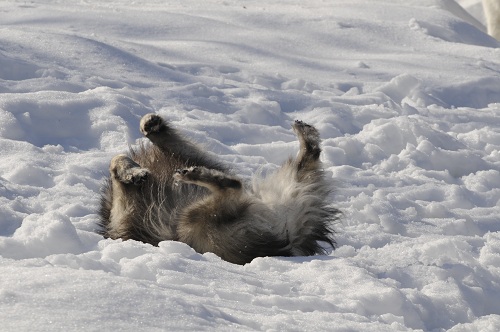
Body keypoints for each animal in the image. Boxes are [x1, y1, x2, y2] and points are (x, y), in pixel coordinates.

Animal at [97, 114, 340, 264]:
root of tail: (290, 232)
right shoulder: (123, 219)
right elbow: (115, 161)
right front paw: (133, 171)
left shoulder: (191, 155)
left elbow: (120, 158)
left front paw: (151, 127)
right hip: (193, 223)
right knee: (233, 187)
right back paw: (198, 175)